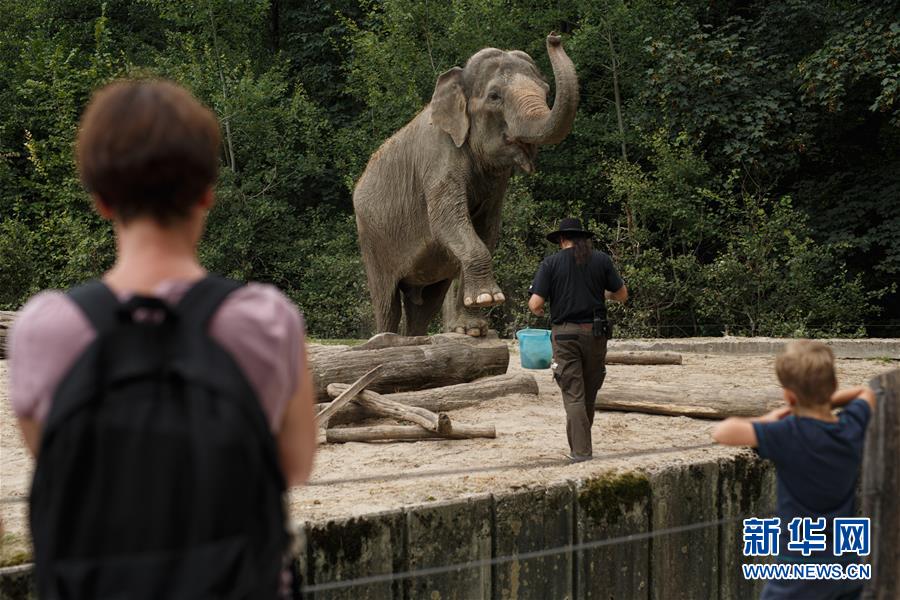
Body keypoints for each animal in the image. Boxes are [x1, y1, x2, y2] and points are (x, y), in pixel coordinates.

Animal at [352, 32, 576, 338]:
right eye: (494, 96)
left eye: (545, 90)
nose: (554, 37)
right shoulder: (438, 157)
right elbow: (448, 219)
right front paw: (488, 299)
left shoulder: (497, 183)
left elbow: (486, 229)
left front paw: (472, 330)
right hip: (373, 241)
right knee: (387, 301)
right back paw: (385, 338)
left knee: (425, 304)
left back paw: (416, 338)